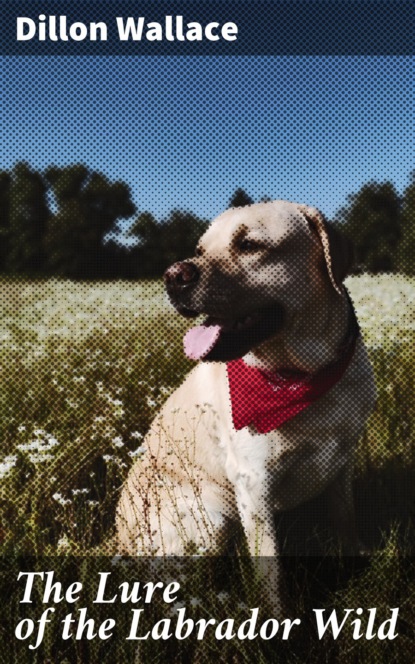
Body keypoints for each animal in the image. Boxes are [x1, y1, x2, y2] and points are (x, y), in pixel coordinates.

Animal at [114, 198, 376, 600]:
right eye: (200, 250)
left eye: (249, 245)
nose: (173, 275)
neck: (303, 375)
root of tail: (116, 540)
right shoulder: (254, 483)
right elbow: (271, 574)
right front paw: (275, 615)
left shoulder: (343, 459)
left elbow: (345, 517)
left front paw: (356, 560)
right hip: (212, 518)